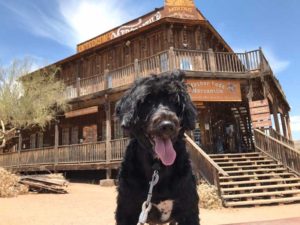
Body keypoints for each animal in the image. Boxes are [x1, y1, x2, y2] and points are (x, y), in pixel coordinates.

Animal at [115, 71, 199, 224]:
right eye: (147, 101)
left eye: (174, 101)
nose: (167, 125)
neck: (157, 167)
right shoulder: (126, 210)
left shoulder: (188, 210)